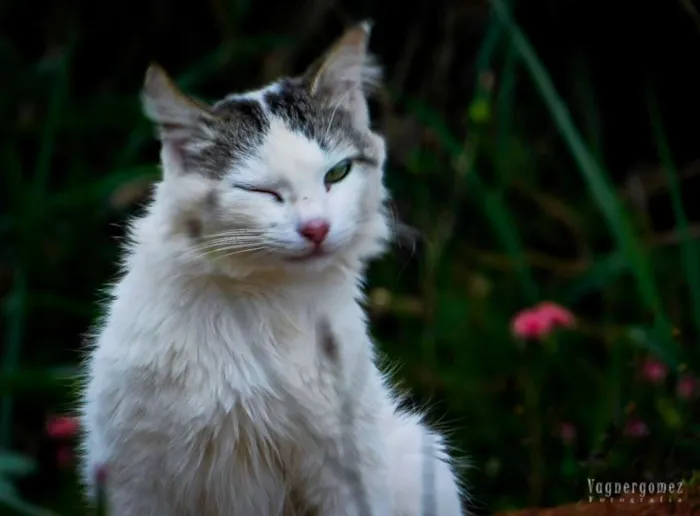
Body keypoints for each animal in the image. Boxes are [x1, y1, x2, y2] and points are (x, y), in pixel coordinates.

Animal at [79, 21, 468, 516]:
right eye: (261, 191)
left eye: (337, 173)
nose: (317, 227)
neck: (267, 301)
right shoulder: (136, 479)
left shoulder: (347, 470)